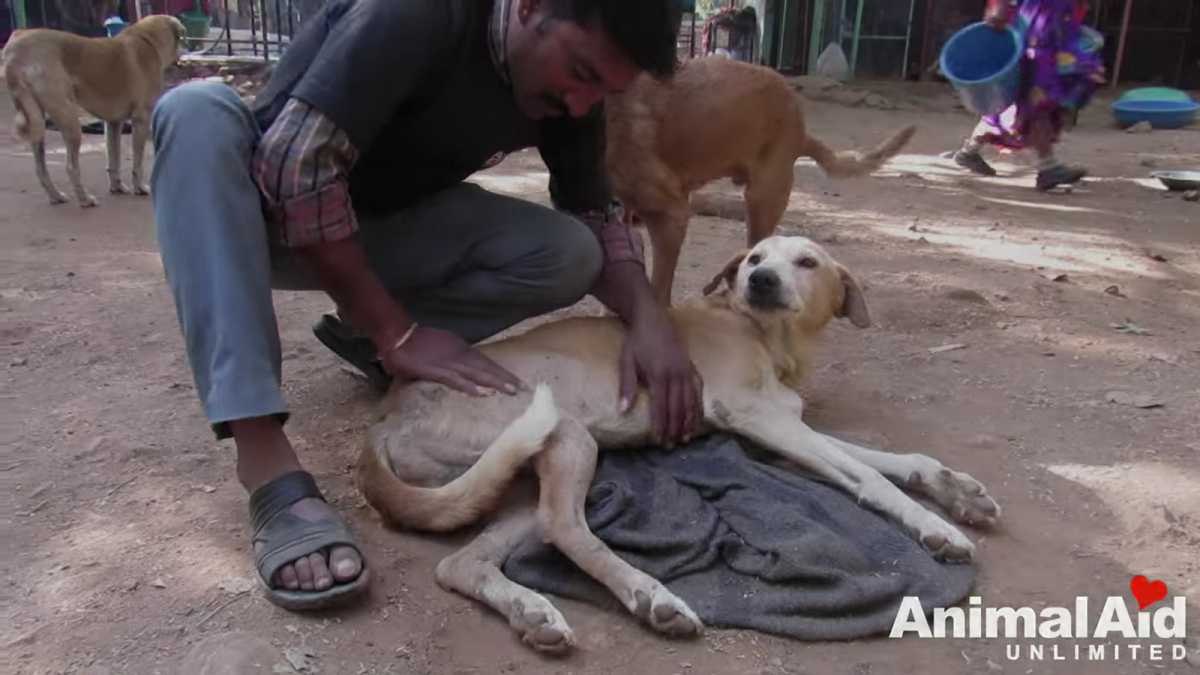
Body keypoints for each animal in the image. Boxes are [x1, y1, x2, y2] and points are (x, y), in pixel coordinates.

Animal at [2, 13, 184, 206]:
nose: (182, 54)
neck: (149, 40)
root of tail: (15, 46)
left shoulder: (113, 123)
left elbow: (113, 158)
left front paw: (116, 186)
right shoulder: (141, 119)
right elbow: (137, 162)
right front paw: (139, 187)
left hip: (37, 121)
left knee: (41, 169)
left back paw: (56, 196)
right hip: (69, 118)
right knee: (71, 167)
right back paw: (85, 199)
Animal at [357, 235, 1003, 653]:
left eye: (807, 262)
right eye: (756, 257)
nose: (759, 279)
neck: (766, 337)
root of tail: (385, 418)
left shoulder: (779, 429)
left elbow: (898, 461)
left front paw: (958, 492)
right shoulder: (758, 418)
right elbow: (868, 476)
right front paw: (936, 527)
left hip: (508, 481)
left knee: (463, 562)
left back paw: (531, 610)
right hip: (563, 433)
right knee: (565, 528)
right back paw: (651, 597)